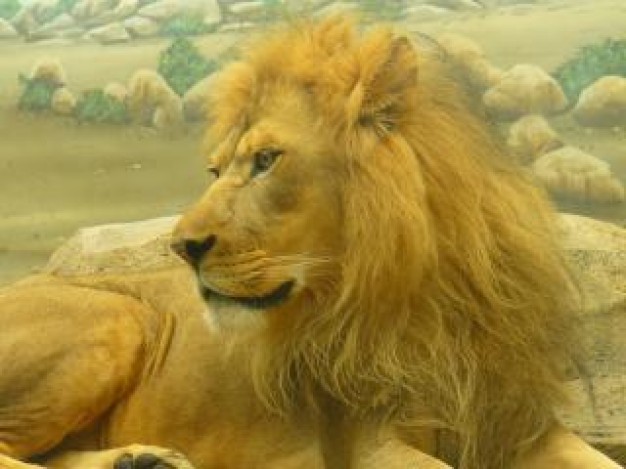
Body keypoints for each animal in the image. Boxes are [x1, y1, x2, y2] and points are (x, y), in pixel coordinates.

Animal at [0, 16, 616, 468]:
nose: (181, 246)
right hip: (119, 317)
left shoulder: (515, 423)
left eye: (266, 160)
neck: (429, 298)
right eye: (215, 170)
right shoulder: (364, 440)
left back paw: (144, 460)